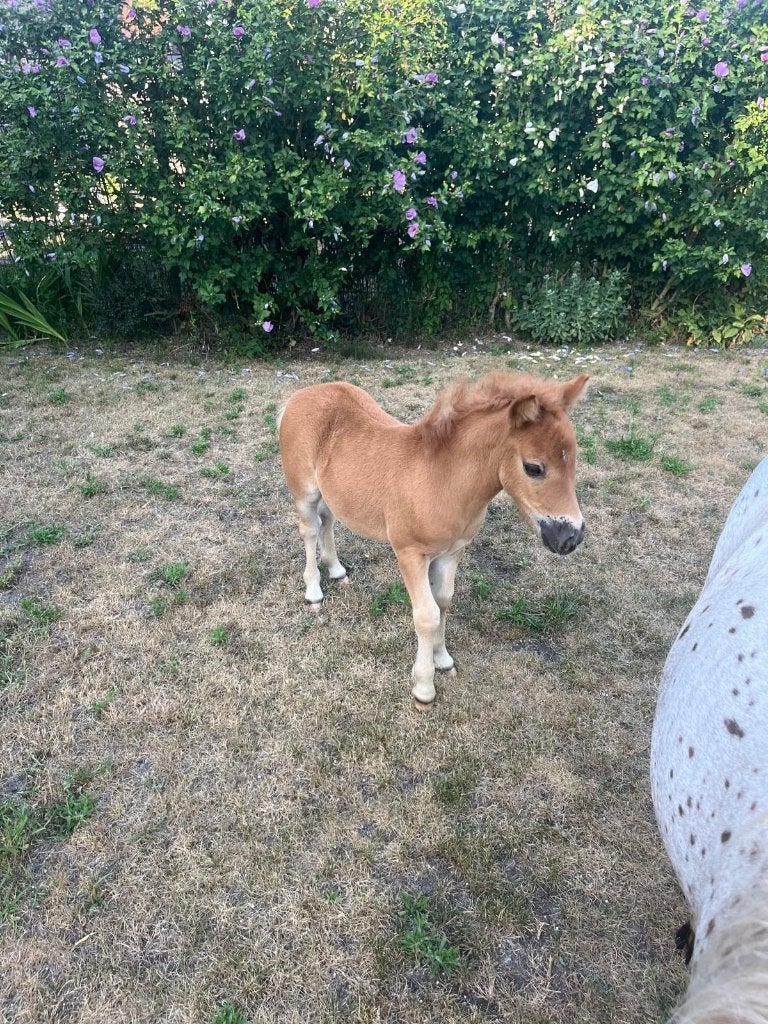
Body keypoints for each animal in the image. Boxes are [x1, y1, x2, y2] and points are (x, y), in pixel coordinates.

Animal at [278, 370, 589, 707]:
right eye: (533, 468)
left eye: (574, 459)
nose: (571, 537)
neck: (442, 480)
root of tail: (298, 396)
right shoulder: (410, 554)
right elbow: (427, 615)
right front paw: (424, 687)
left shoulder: (453, 551)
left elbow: (443, 602)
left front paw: (443, 659)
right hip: (304, 491)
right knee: (309, 529)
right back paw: (313, 590)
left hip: (333, 492)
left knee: (328, 519)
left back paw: (336, 569)